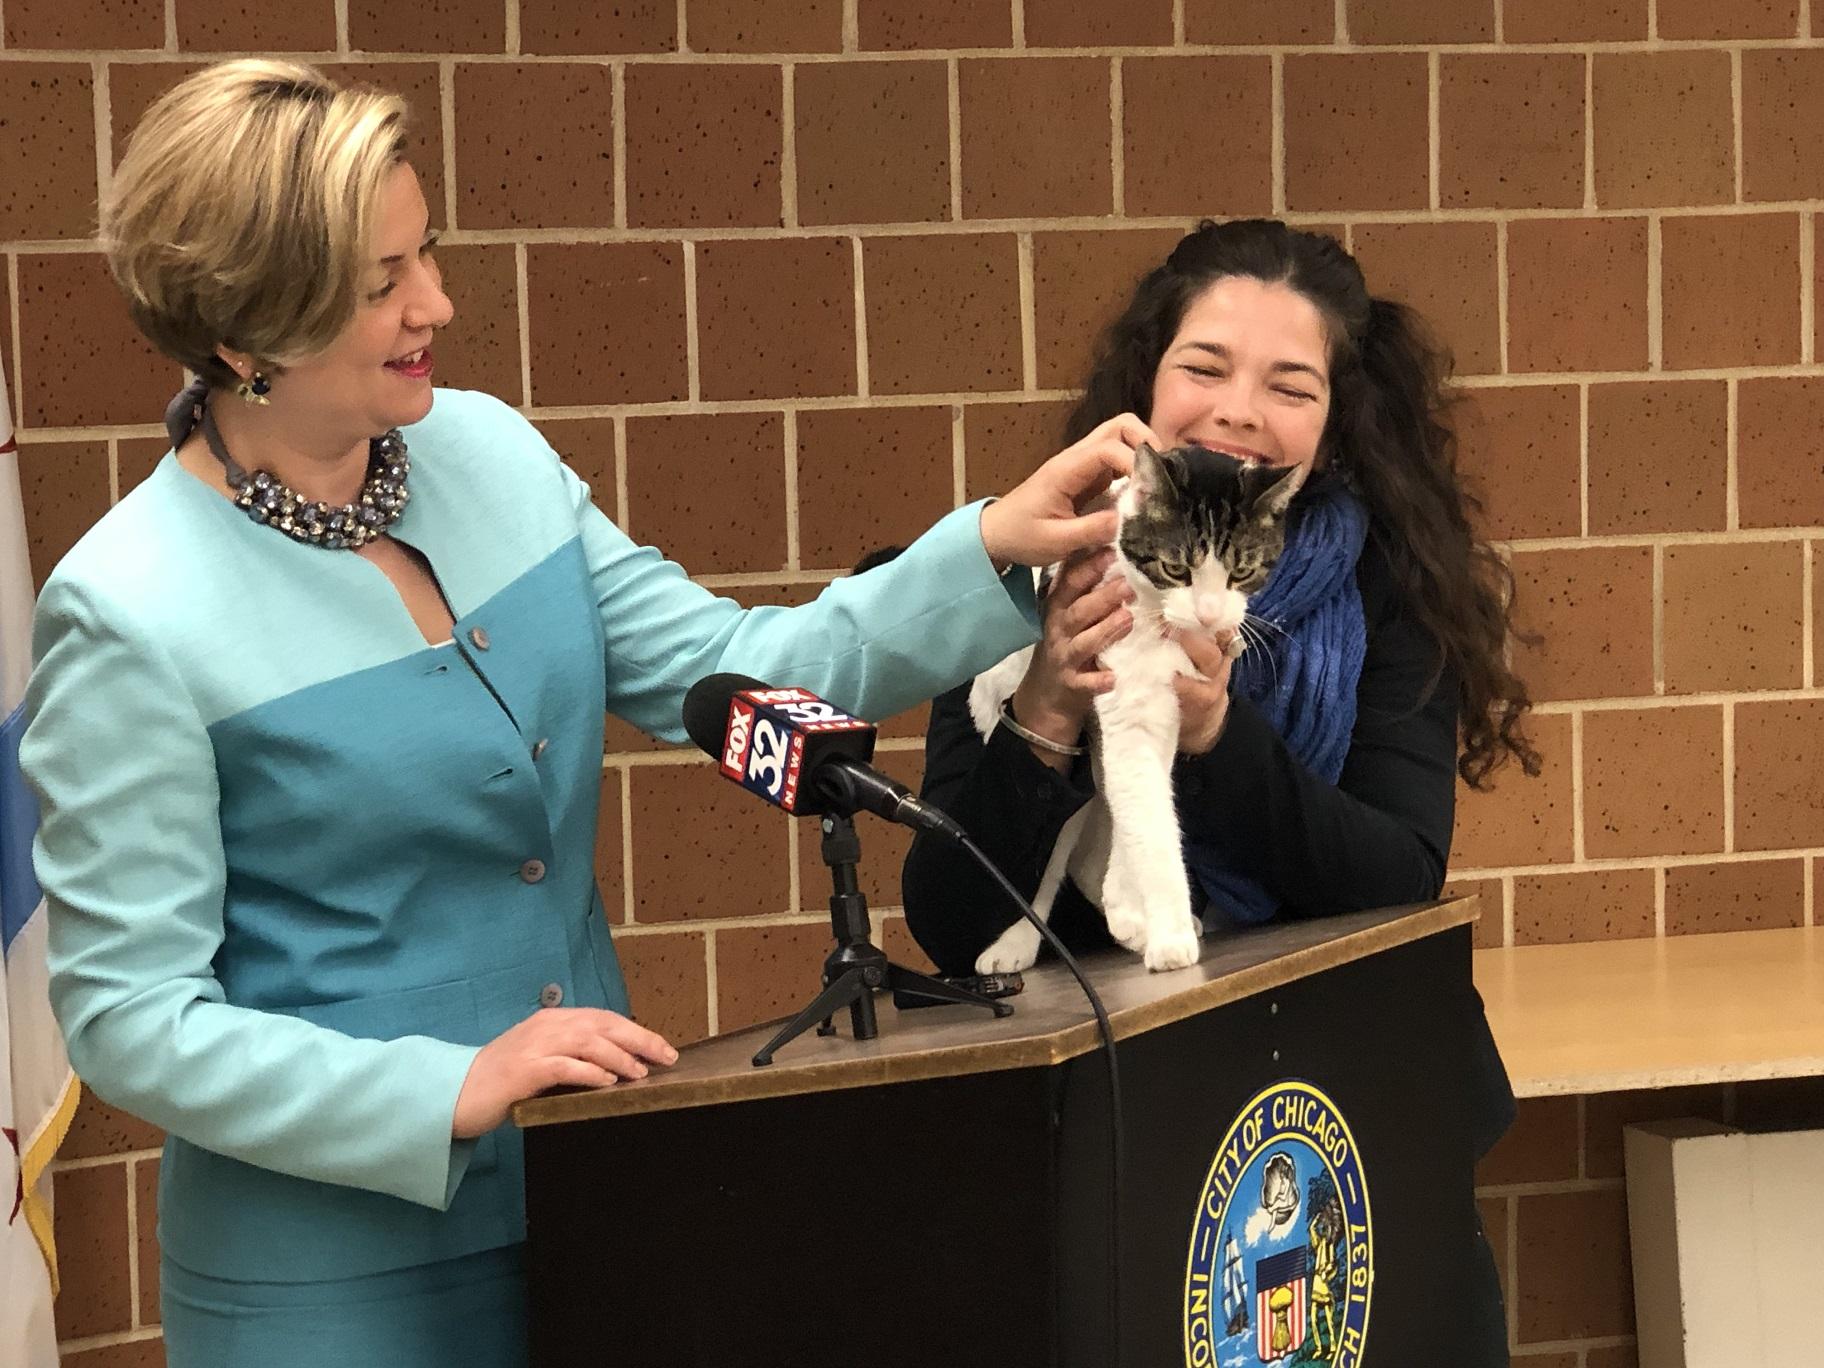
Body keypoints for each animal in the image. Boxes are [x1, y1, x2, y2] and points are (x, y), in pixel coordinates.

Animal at [970, 446, 1298, 977]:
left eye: (1242, 573)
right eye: (1176, 568)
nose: (1209, 615)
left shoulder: (1162, 712)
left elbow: (1140, 810)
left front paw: (1130, 907)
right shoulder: (1128, 705)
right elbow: (1148, 823)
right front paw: (1168, 938)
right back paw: (1015, 942)